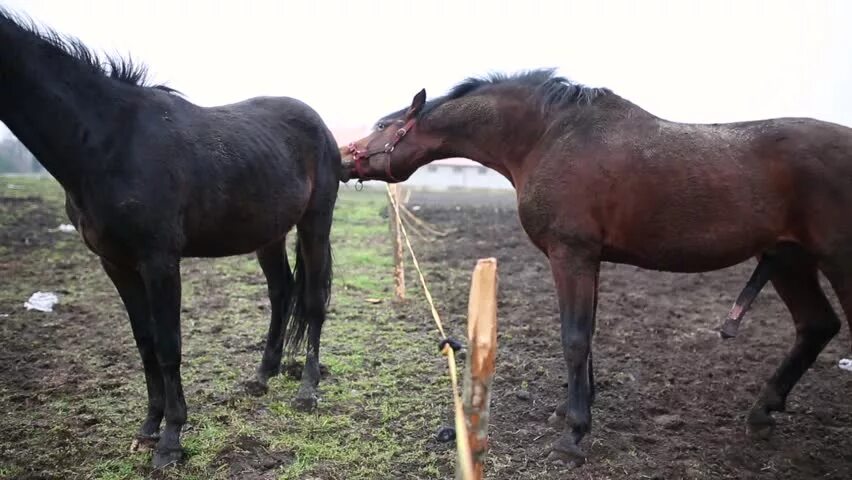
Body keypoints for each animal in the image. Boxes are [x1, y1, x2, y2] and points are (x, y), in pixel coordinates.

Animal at [0, 8, 340, 468]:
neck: (108, 141)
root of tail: (319, 124)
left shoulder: (159, 261)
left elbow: (168, 345)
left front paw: (171, 440)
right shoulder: (117, 264)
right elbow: (145, 344)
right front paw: (147, 429)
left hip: (315, 223)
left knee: (313, 301)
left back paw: (307, 390)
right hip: (268, 234)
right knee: (281, 292)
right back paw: (261, 376)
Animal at [340, 69, 852, 466]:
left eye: (384, 125)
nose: (344, 159)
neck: (547, 138)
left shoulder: (571, 254)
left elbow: (574, 339)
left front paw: (573, 435)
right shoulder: (592, 260)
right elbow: (587, 339)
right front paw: (573, 411)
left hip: (834, 261)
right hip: (788, 260)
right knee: (816, 325)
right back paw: (762, 412)